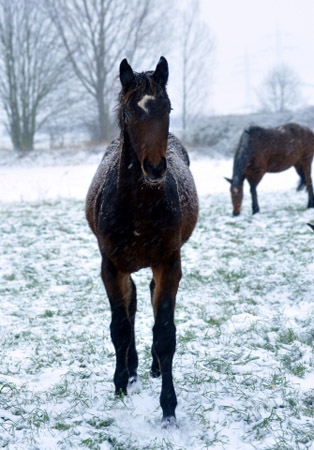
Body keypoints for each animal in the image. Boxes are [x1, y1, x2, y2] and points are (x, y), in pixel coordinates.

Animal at [85, 56, 199, 426]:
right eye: (130, 111)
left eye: (167, 107)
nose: (154, 168)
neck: (137, 206)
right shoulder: (110, 266)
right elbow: (120, 327)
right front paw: (120, 385)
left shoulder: (169, 263)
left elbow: (165, 334)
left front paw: (168, 409)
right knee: (132, 305)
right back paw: (132, 371)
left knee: (146, 299)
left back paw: (150, 367)